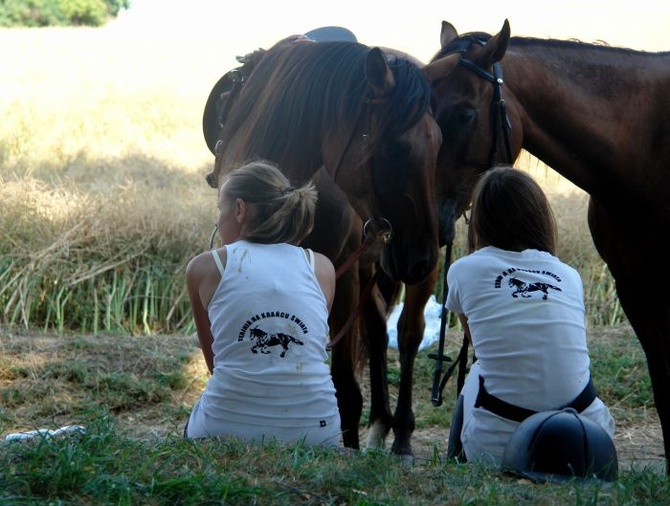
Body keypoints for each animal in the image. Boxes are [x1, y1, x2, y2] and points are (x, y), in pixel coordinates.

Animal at [202, 33, 444, 456]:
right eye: (395, 149)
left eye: (440, 145)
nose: (422, 257)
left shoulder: (341, 276)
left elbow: (345, 390)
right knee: (377, 328)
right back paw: (380, 426)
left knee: (403, 334)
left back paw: (398, 437)